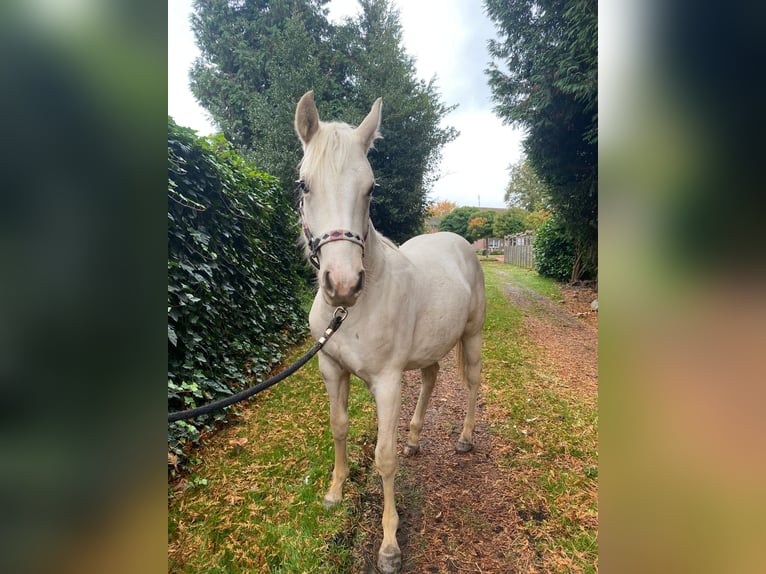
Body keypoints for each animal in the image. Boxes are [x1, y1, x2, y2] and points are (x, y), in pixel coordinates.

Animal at [296, 92, 486, 572]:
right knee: (432, 378)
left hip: (472, 338)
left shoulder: (386, 382)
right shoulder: (331, 370)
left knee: (472, 383)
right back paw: (416, 439)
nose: (343, 284)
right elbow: (338, 427)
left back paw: (464, 439)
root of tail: (460, 243)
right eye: (304, 185)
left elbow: (384, 457)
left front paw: (388, 545)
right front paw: (334, 492)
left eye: (371, 188)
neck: (351, 313)